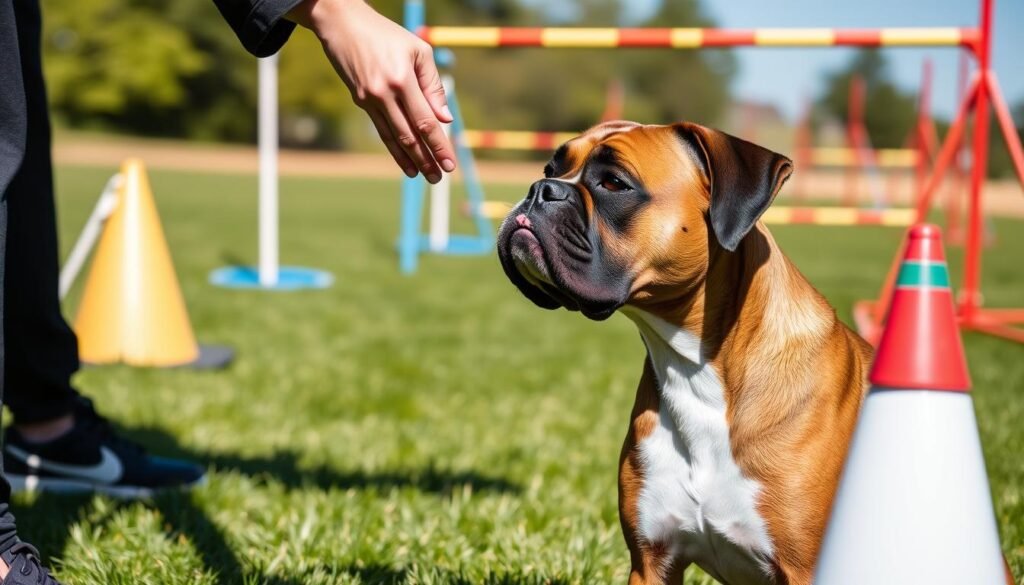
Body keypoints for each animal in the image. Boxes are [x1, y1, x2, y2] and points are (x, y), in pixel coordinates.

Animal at [495, 120, 872, 585]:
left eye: (613, 183)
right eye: (552, 168)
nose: (541, 189)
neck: (698, 372)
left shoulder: (802, 569)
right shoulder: (651, 561)